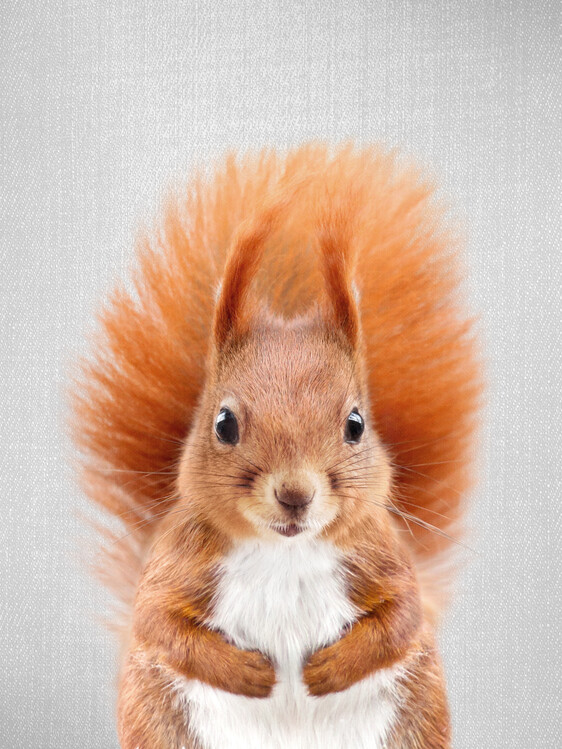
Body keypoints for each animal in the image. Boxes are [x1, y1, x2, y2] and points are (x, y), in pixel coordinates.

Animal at [70, 143, 482, 749]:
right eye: (223, 424)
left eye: (356, 424)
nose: (294, 494)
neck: (285, 553)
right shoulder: (179, 562)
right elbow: (158, 619)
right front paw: (251, 673)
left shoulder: (382, 557)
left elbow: (404, 616)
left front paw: (324, 670)